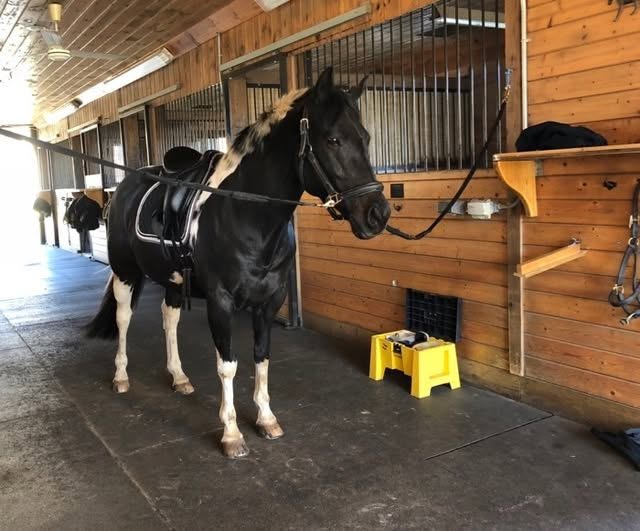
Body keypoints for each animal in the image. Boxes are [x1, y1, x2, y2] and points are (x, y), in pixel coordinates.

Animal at [86, 67, 391, 458]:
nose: (378, 215)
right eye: (333, 140)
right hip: (125, 272)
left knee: (169, 320)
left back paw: (179, 378)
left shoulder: (269, 301)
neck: (247, 213)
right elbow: (228, 366)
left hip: (173, 279)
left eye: (365, 137)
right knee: (123, 318)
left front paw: (266, 419)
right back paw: (121, 377)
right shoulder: (221, 302)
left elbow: (261, 357)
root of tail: (127, 185)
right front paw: (231, 434)